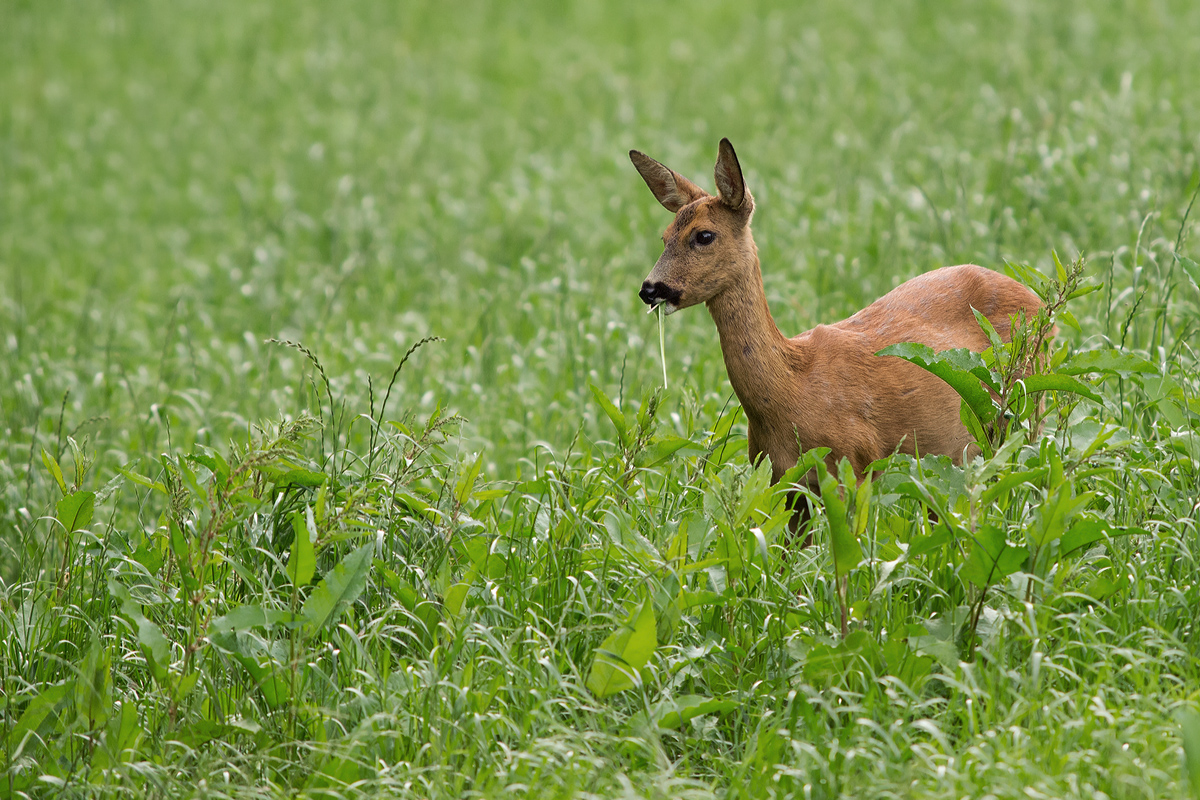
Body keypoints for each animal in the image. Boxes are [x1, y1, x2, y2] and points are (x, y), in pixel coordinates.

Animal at [633, 140, 1046, 496]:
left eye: (704, 235)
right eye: (664, 236)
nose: (650, 288)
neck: (794, 389)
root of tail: (1039, 299)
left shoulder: (853, 463)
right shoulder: (781, 478)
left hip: (1027, 407)